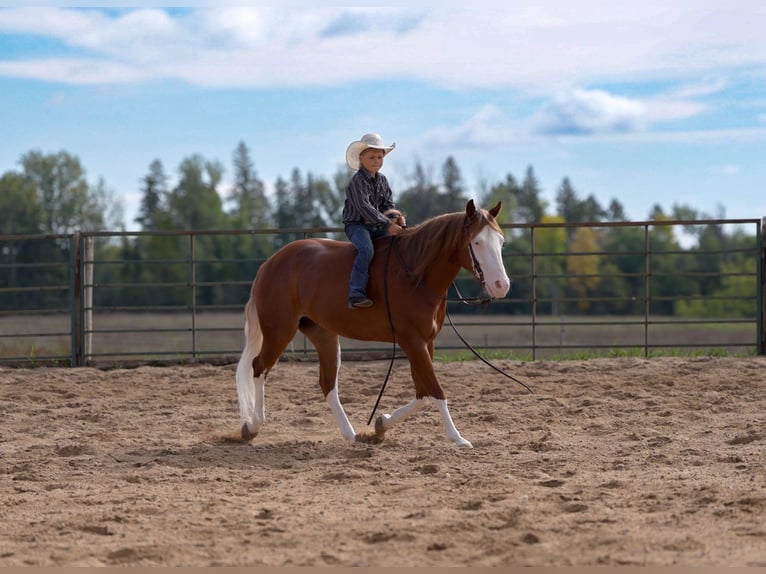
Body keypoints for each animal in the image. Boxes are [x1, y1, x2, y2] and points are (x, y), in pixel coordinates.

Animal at [235, 199, 510, 448]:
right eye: (477, 242)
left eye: (500, 241)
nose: (501, 285)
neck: (415, 274)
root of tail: (270, 263)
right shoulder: (413, 342)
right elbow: (435, 390)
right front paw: (458, 437)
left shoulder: (424, 342)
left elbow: (423, 393)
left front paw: (380, 425)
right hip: (279, 331)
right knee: (259, 367)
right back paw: (252, 426)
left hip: (323, 334)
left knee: (327, 383)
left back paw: (350, 434)